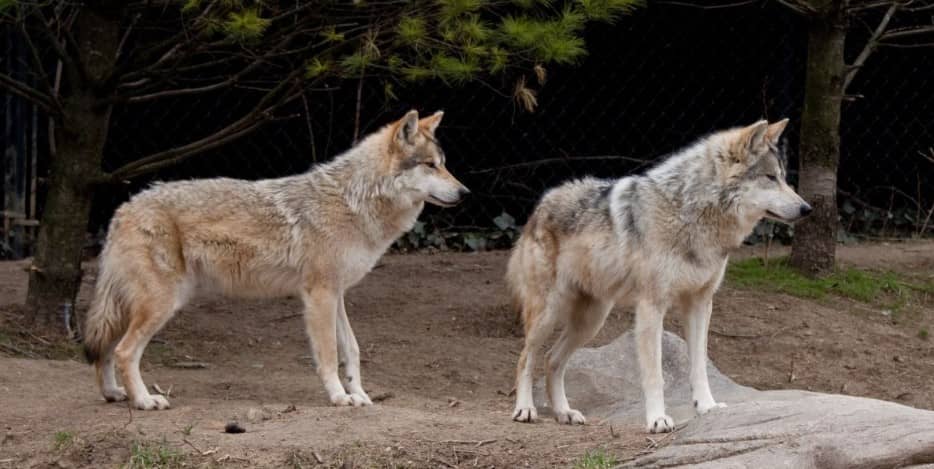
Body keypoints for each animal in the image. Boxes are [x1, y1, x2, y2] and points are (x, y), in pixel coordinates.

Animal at [83, 110, 469, 410]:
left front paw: (358, 393)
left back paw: (113, 393)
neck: (355, 201)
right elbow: (329, 354)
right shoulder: (319, 295)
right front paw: (339, 396)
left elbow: (353, 349)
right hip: (162, 304)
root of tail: (122, 210)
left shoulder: (337, 294)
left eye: (444, 165)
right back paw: (144, 400)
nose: (465, 193)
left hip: (135, 305)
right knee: (124, 352)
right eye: (431, 165)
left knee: (105, 350)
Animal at [507, 119, 811, 433]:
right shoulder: (652, 307)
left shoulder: (701, 304)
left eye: (783, 178)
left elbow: (699, 365)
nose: (807, 209)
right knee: (526, 359)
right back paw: (525, 409)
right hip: (549, 314)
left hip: (591, 322)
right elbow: (655, 375)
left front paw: (708, 407)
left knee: (552, 360)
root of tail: (539, 205)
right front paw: (657, 419)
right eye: (770, 177)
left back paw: (564, 413)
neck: (689, 211)